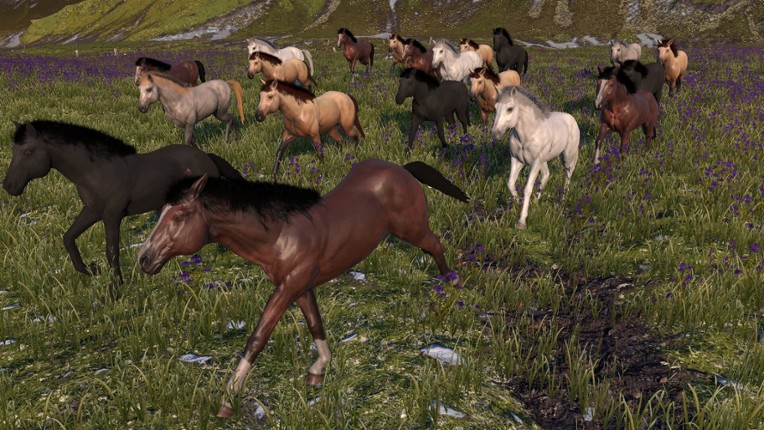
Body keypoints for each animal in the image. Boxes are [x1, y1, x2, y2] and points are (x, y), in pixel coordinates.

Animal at [2, 120, 243, 283]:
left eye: (28, 151)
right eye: (14, 150)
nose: (8, 186)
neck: (97, 171)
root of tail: (207, 157)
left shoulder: (112, 215)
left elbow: (112, 251)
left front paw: (116, 288)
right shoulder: (92, 211)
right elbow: (68, 238)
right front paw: (92, 270)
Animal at [137, 158, 469, 418]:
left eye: (179, 215)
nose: (144, 259)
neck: (280, 234)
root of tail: (403, 169)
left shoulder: (289, 287)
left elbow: (257, 338)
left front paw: (227, 401)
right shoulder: (300, 286)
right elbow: (315, 323)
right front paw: (318, 370)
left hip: (414, 230)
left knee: (436, 247)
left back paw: (452, 288)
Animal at [490, 87, 579, 229]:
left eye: (510, 108)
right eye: (495, 108)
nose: (495, 134)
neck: (529, 134)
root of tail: (571, 118)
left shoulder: (535, 163)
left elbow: (527, 188)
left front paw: (521, 221)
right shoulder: (517, 160)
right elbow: (510, 183)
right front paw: (517, 203)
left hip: (567, 157)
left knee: (567, 176)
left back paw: (562, 200)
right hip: (544, 161)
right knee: (546, 175)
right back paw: (536, 201)